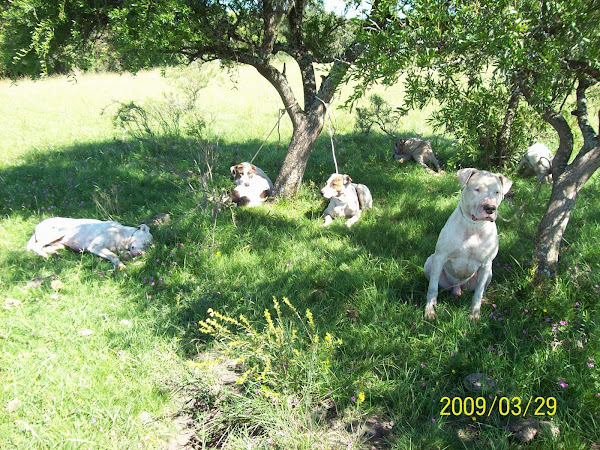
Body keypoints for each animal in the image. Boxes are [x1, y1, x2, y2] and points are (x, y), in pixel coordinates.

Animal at [424, 168, 512, 320]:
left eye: (497, 192)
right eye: (477, 189)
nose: (490, 208)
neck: (474, 227)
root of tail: (458, 287)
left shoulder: (486, 264)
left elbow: (478, 294)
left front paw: (475, 314)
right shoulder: (440, 257)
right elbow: (432, 288)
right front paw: (429, 310)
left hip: (489, 273)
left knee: (479, 290)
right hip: (430, 262)